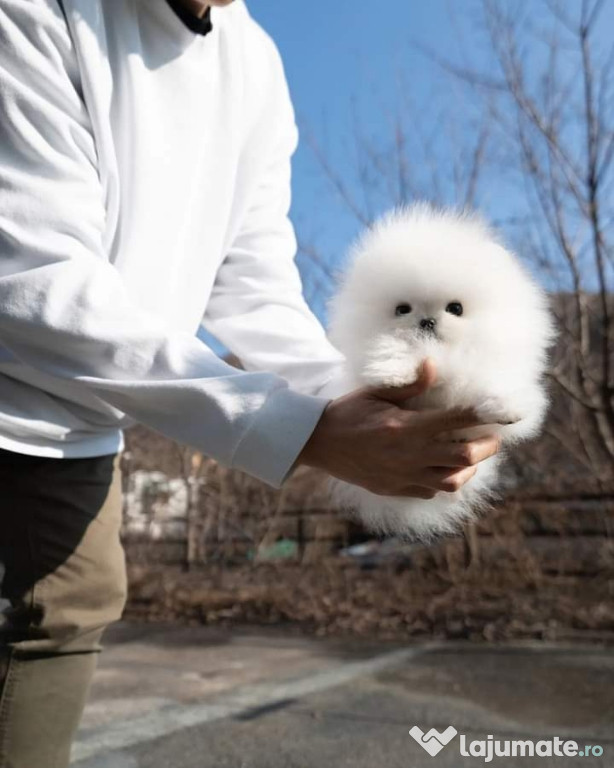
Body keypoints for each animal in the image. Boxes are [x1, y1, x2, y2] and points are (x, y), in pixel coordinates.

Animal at [330, 204, 560, 540]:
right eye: (402, 309)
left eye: (456, 308)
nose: (426, 321)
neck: (444, 357)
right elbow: (393, 348)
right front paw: (393, 372)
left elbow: (495, 382)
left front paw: (505, 406)